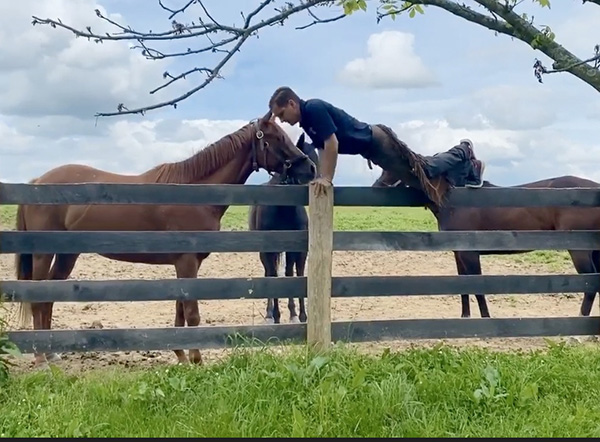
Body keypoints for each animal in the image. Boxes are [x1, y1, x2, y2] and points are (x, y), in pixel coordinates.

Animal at [247, 133, 318, 322]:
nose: (313, 171)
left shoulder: (297, 249)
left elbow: (293, 275)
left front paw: (299, 314)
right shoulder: (269, 249)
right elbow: (275, 277)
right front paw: (277, 315)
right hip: (263, 252)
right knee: (269, 273)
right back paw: (269, 313)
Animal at [372, 171, 600, 320]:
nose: (376, 188)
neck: (454, 203)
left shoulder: (470, 253)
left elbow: (478, 286)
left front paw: (486, 317)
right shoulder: (459, 252)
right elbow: (463, 286)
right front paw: (465, 316)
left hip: (580, 251)